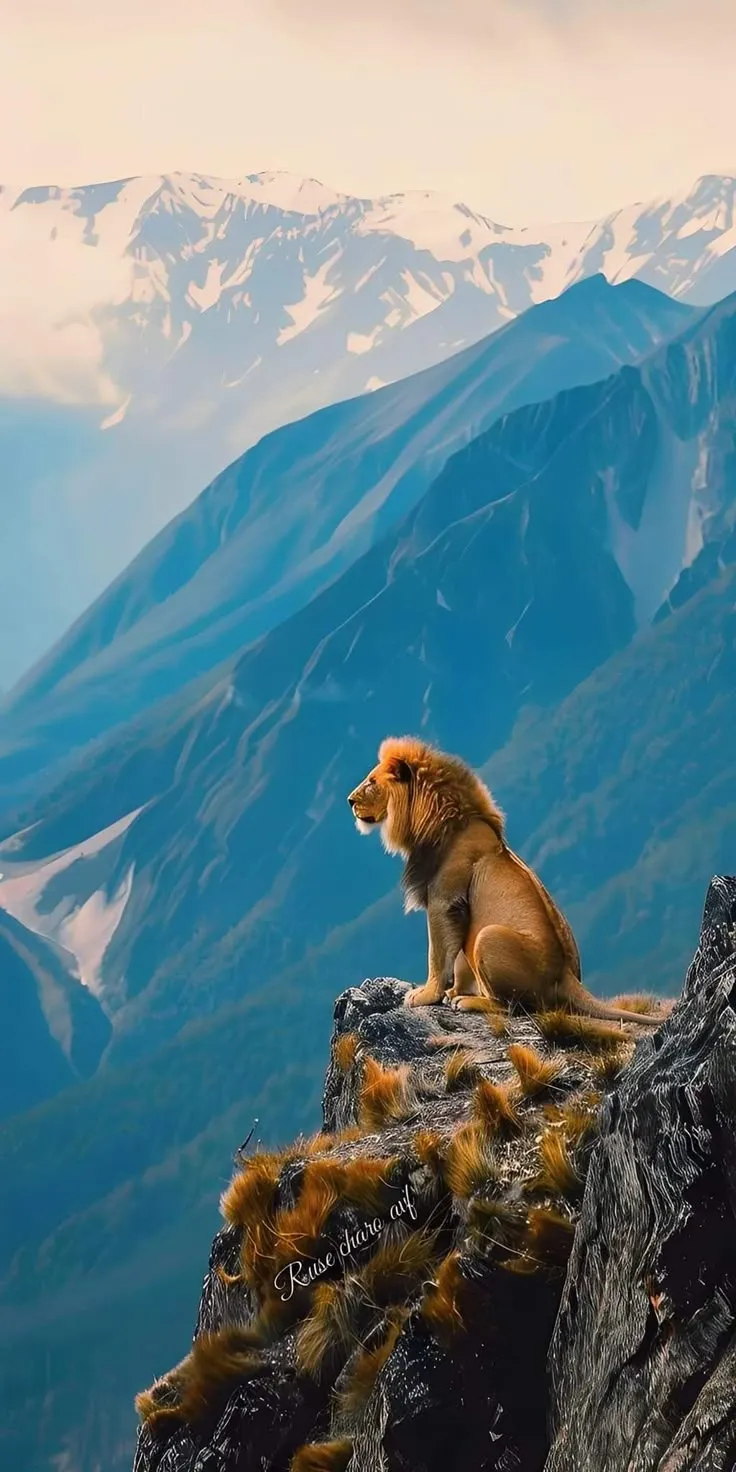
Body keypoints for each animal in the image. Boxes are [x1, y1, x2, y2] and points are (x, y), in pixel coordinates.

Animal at [347, 736, 663, 1028]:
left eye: (372, 782)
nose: (349, 801)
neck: (439, 822)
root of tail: (566, 976)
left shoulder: (444, 900)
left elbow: (437, 955)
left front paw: (427, 995)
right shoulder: (460, 912)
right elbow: (458, 959)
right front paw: (452, 991)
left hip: (489, 936)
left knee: (514, 1007)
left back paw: (469, 1002)